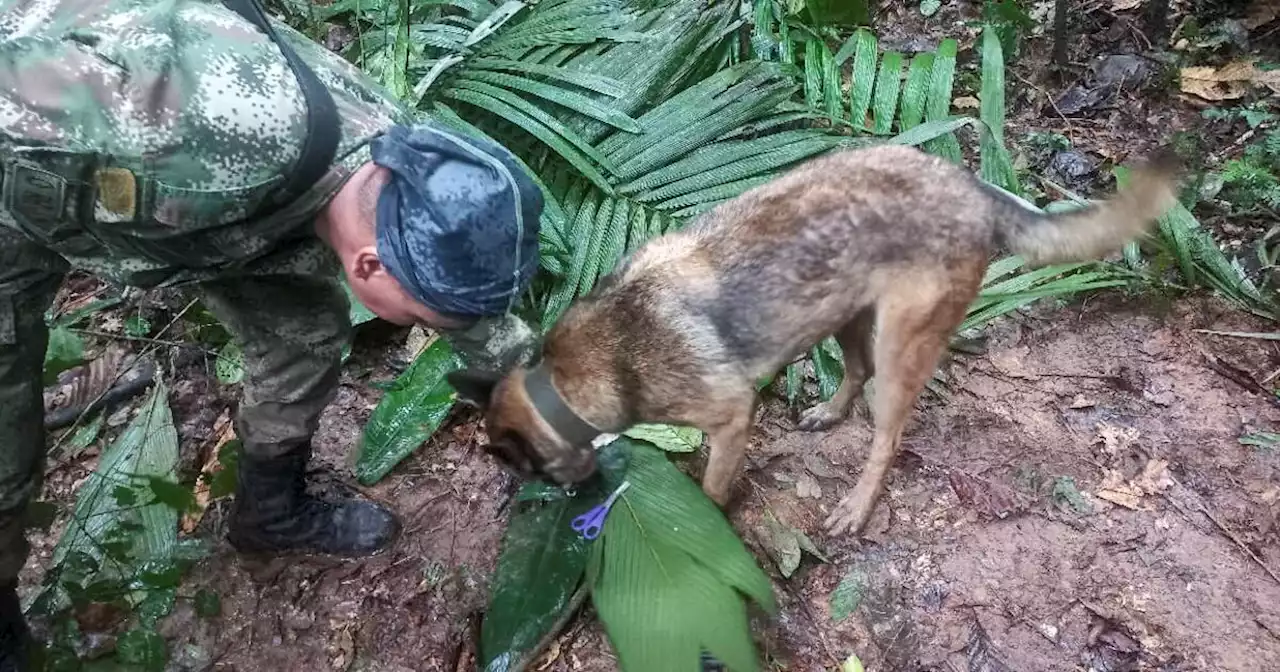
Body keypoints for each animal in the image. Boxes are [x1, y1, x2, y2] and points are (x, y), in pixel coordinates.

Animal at [450, 144, 1177, 537]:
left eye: (526, 471)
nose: (572, 501)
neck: (567, 379)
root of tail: (973, 187)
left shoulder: (731, 418)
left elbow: (712, 487)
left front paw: (707, 521)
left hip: (900, 344)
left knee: (887, 434)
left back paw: (857, 504)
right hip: (845, 313)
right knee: (853, 374)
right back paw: (829, 412)